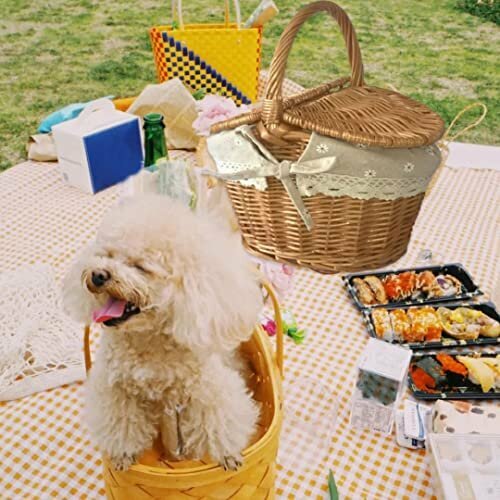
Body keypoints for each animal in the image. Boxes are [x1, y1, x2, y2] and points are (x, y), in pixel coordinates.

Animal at [63, 195, 262, 471]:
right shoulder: (115, 388)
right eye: (107, 255)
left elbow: (219, 418)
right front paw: (123, 455)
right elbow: (121, 422)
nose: (98, 275)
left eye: (140, 267)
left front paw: (229, 455)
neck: (149, 342)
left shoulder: (208, 387)